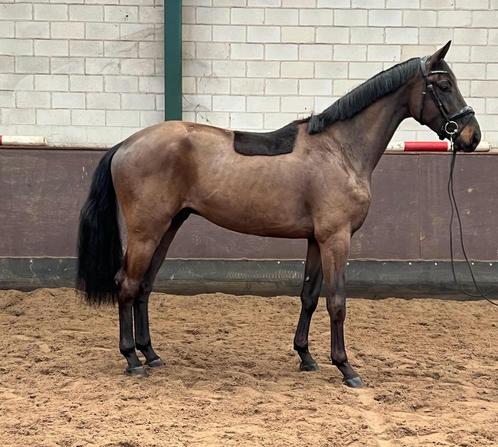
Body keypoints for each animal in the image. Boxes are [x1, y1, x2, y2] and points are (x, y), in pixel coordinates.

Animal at [77, 42, 478, 388]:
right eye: (444, 85)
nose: (472, 136)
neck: (339, 150)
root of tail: (126, 144)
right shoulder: (336, 238)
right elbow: (337, 301)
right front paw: (346, 368)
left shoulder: (316, 240)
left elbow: (309, 296)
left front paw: (306, 357)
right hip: (146, 230)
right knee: (127, 284)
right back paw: (132, 359)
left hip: (169, 226)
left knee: (144, 286)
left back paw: (151, 354)